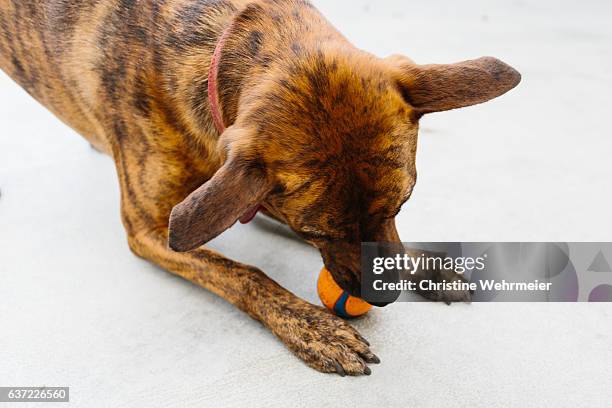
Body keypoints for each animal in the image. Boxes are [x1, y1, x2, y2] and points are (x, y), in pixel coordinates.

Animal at [0, 0, 520, 376]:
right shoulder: (152, 229)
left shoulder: (245, 189)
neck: (215, 43)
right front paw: (315, 328)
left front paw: (425, 264)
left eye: (403, 204)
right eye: (318, 233)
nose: (385, 297)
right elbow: (245, 274)